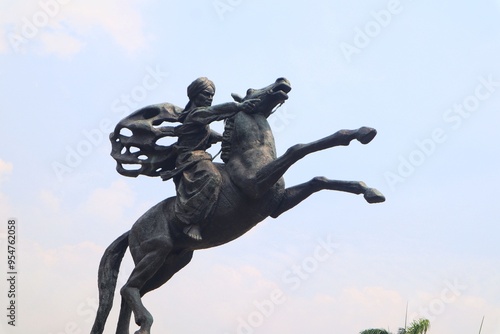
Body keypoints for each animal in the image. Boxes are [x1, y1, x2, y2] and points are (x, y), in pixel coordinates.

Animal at [91, 77, 386, 332]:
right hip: (157, 251)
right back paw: (146, 322)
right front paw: (360, 136)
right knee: (128, 289)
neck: (250, 156)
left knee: (130, 292)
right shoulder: (256, 185)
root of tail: (131, 230)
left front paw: (370, 188)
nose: (282, 81)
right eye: (251, 89)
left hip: (174, 261)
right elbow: (298, 149)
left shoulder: (277, 205)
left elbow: (319, 179)